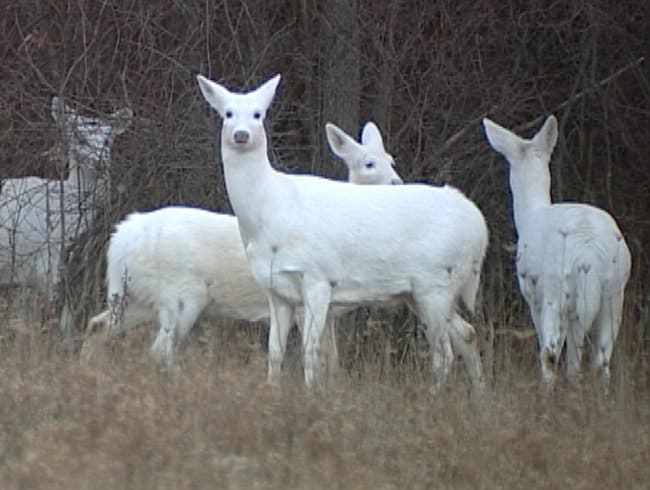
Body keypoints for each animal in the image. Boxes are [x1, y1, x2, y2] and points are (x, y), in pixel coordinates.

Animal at [82, 121, 400, 368]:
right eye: (369, 164)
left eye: (391, 160)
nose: (397, 182)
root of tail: (121, 239)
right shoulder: (304, 299)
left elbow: (332, 360)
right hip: (180, 294)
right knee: (160, 349)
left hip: (137, 295)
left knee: (98, 326)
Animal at [197, 73, 486, 394]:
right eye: (228, 113)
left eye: (258, 114)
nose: (242, 135)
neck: (270, 211)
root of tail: (479, 228)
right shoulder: (276, 290)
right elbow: (274, 351)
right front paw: (273, 389)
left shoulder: (318, 278)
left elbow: (311, 351)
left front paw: (311, 394)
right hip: (420, 292)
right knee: (466, 333)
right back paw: (478, 396)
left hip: (436, 282)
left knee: (443, 352)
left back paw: (434, 396)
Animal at [480, 115, 628, 390]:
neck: (531, 215)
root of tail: (590, 255)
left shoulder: (532, 295)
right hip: (614, 290)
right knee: (601, 358)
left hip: (555, 287)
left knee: (550, 352)